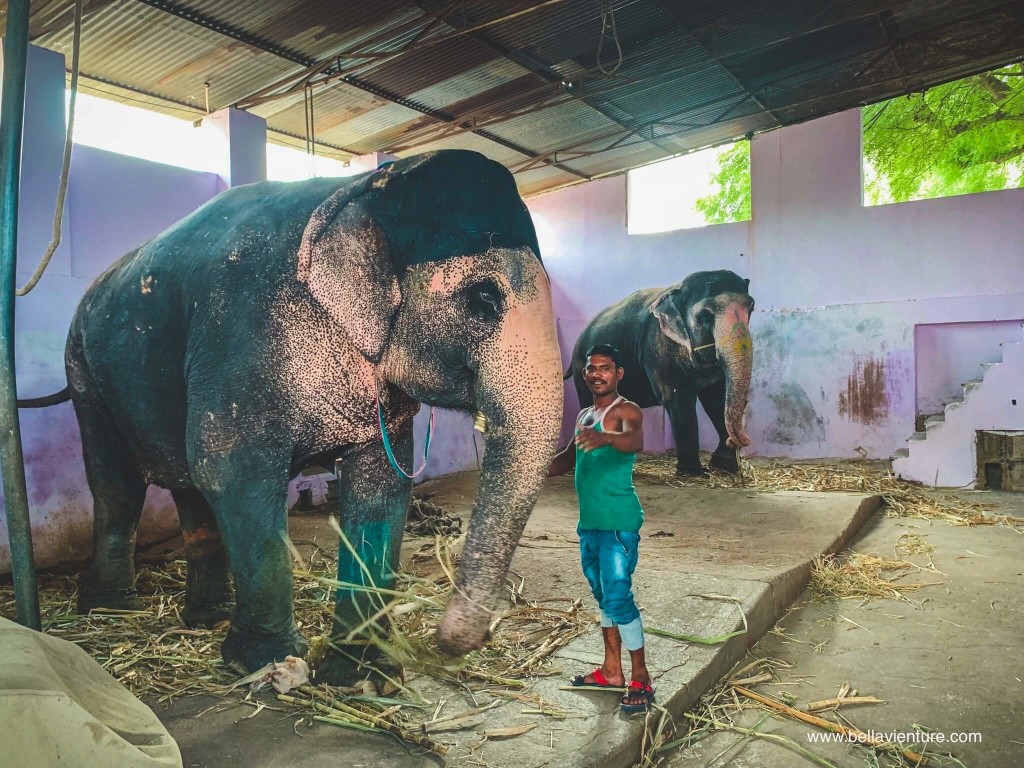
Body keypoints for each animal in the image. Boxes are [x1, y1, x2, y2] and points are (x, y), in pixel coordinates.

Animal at [42, 150, 563, 682]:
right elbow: (234, 470)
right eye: (483, 298)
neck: (360, 190)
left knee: (188, 486)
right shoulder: (242, 332)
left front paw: (362, 672)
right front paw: (269, 661)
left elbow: (380, 484)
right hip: (83, 370)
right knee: (119, 484)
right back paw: (113, 609)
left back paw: (208, 617)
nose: (446, 642)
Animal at [569, 270, 753, 475]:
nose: (738, 440)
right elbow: (677, 399)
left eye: (751, 309)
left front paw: (725, 465)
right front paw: (692, 472)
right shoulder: (657, 346)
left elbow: (715, 399)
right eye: (705, 315)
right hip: (581, 370)